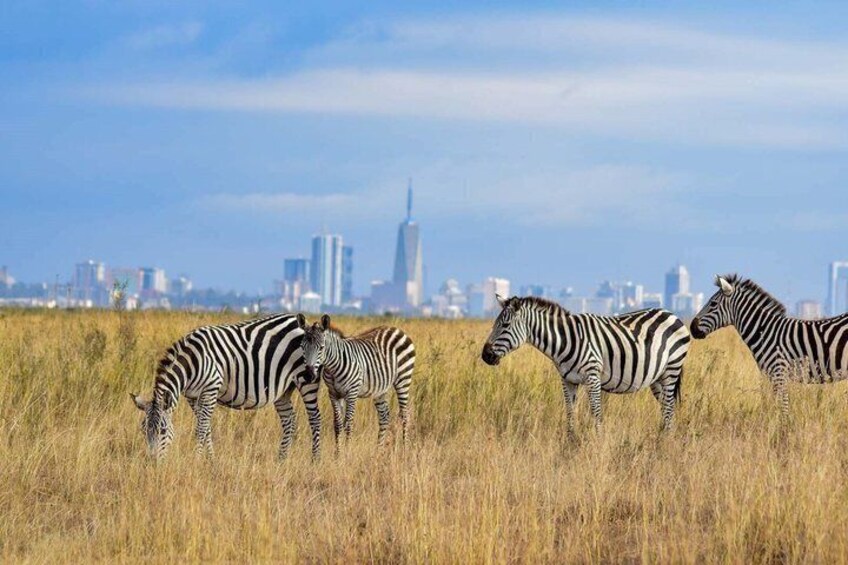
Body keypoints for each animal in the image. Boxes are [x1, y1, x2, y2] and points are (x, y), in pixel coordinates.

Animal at [130, 314, 321, 460]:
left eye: (163, 431)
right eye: (143, 431)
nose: (152, 462)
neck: (192, 362)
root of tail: (298, 320)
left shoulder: (211, 388)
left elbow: (201, 428)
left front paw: (197, 460)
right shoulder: (192, 396)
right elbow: (206, 428)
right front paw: (210, 460)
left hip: (306, 380)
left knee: (315, 418)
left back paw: (315, 460)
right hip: (283, 389)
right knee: (290, 420)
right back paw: (281, 459)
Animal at [297, 314, 415, 447]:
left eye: (321, 348)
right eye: (302, 347)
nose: (308, 375)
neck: (333, 368)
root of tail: (396, 329)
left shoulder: (351, 392)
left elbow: (348, 423)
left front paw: (347, 451)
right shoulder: (333, 394)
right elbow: (337, 424)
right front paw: (338, 452)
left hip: (403, 379)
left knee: (405, 415)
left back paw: (405, 448)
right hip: (380, 389)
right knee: (384, 416)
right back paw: (379, 449)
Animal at [481, 295, 691, 434]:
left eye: (505, 326)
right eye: (494, 324)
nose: (485, 356)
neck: (565, 340)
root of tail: (671, 313)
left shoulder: (592, 376)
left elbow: (596, 412)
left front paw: (597, 442)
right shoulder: (568, 380)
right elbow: (570, 412)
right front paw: (570, 442)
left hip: (672, 368)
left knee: (669, 408)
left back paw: (665, 441)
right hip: (657, 377)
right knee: (666, 408)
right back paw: (662, 437)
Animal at [691, 274, 848, 417]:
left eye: (713, 304)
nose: (692, 328)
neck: (766, 332)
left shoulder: (779, 373)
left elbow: (783, 409)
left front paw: (782, 428)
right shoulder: (772, 375)